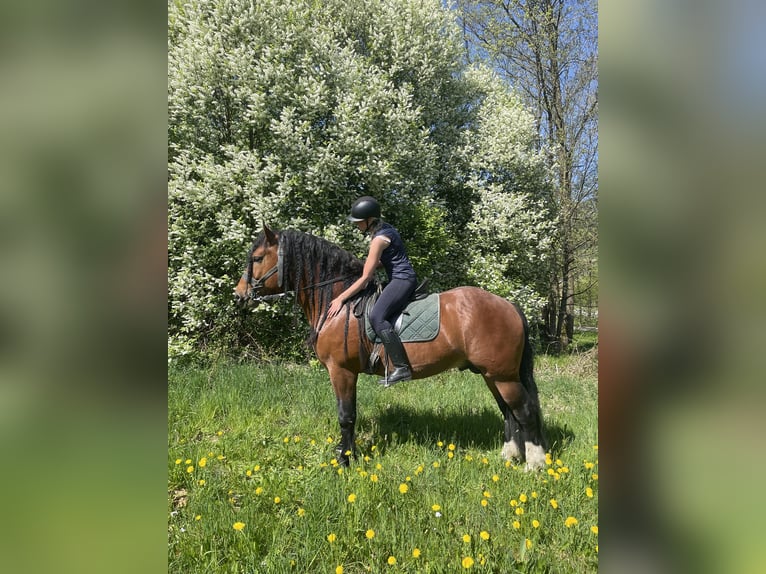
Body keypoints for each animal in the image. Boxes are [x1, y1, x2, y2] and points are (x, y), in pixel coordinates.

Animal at [231, 223, 548, 470]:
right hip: (492, 375)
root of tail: (509, 305)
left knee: (524, 412)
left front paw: (344, 461)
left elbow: (346, 416)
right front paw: (347, 455)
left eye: (257, 258)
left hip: (503, 376)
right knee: (508, 412)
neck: (339, 303)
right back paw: (509, 456)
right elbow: (349, 415)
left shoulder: (341, 371)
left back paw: (535, 464)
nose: (238, 294)